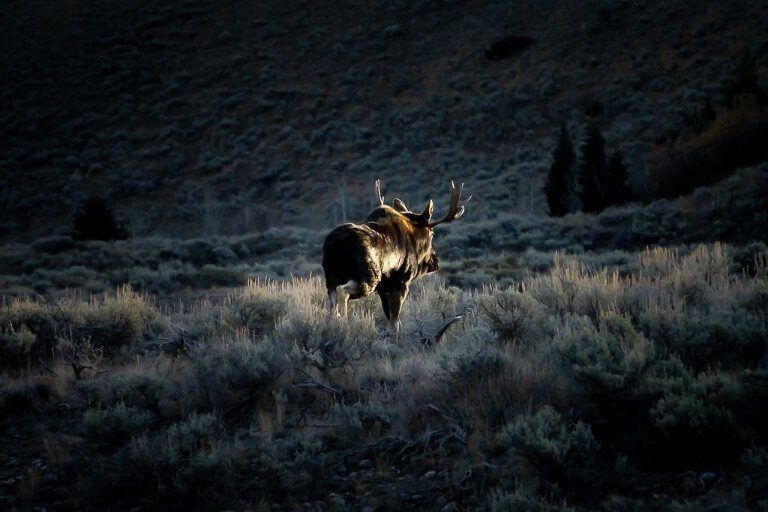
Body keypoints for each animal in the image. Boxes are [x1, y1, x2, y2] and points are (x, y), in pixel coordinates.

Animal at [322, 180, 472, 332]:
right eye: (432, 233)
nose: (435, 262)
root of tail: (335, 243)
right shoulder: (401, 282)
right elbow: (395, 323)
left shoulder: (383, 289)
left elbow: (390, 318)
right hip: (368, 277)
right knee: (342, 291)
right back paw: (343, 323)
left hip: (331, 277)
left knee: (333, 301)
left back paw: (335, 323)